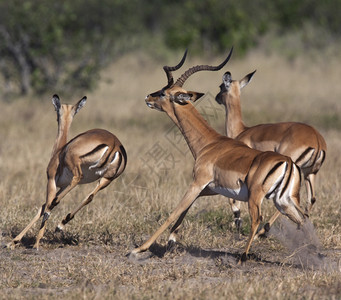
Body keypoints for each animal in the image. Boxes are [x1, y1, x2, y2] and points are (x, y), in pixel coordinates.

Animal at [5, 95, 126, 250]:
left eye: (56, 110)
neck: (59, 150)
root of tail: (114, 144)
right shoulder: (62, 186)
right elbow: (42, 207)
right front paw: (14, 242)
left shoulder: (51, 181)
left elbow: (44, 206)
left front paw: (33, 243)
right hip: (106, 180)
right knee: (89, 196)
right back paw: (61, 224)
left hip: (77, 169)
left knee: (66, 191)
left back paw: (55, 221)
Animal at [131, 51, 306, 262]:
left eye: (165, 92)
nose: (148, 96)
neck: (209, 143)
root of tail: (288, 162)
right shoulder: (208, 189)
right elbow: (184, 211)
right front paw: (170, 243)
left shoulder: (197, 183)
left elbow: (173, 213)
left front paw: (139, 249)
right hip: (284, 201)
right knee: (302, 220)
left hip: (257, 198)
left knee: (258, 220)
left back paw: (243, 256)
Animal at [214, 69, 326, 234]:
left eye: (221, 86)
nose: (216, 97)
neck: (242, 130)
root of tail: (317, 139)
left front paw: (236, 223)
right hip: (309, 174)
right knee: (310, 199)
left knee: (286, 200)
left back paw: (264, 231)